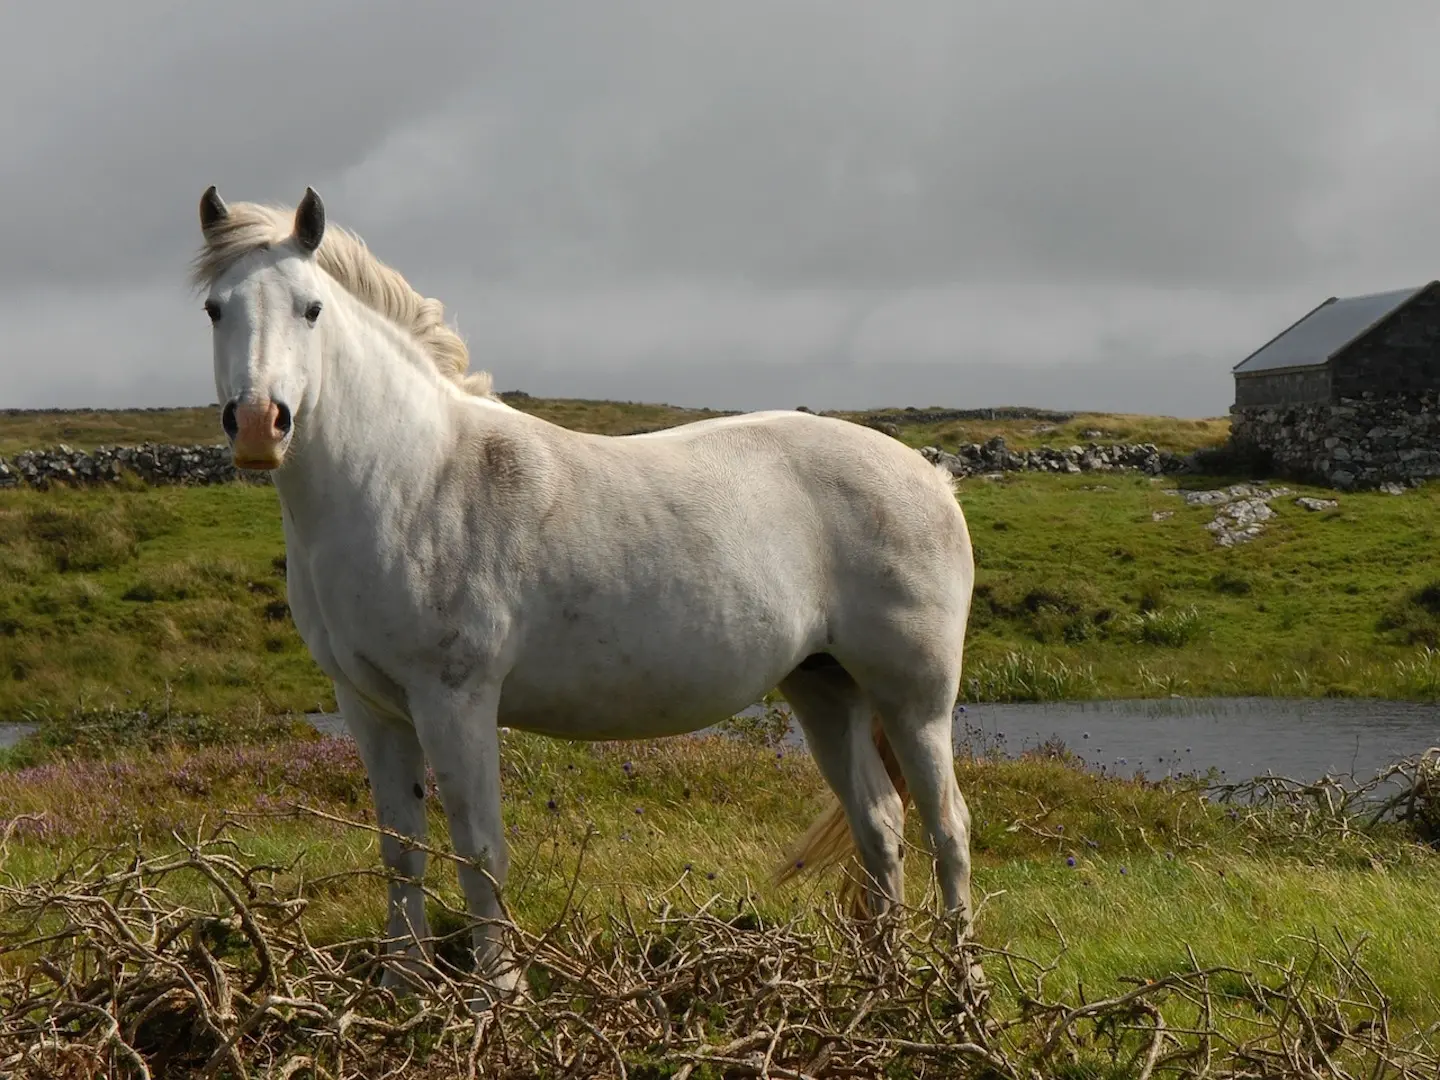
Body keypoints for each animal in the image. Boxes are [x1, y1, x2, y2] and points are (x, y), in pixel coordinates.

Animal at [191, 185, 979, 1008]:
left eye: (310, 307)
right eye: (215, 308)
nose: (259, 424)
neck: (413, 478)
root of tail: (932, 476)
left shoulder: (455, 701)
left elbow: (479, 849)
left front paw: (496, 998)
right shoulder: (369, 706)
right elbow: (401, 849)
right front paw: (399, 988)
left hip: (914, 699)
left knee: (946, 827)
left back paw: (963, 989)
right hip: (826, 689)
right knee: (880, 825)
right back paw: (882, 984)